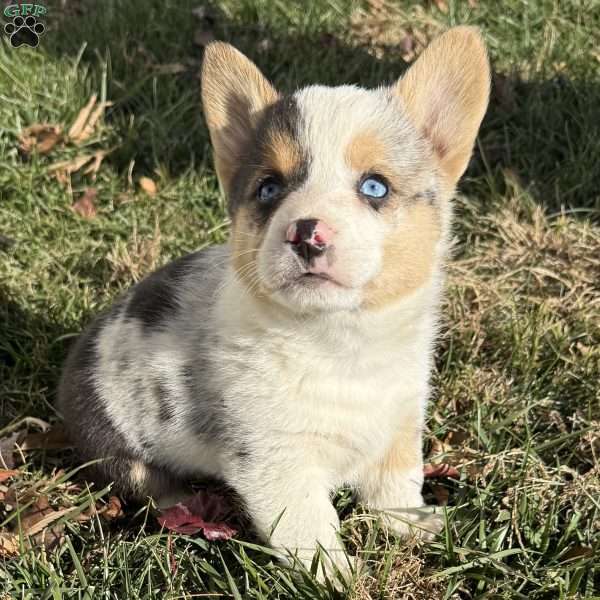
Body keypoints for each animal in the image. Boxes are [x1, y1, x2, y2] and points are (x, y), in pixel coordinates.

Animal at [58, 27, 490, 572]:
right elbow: (312, 532)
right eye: (269, 188)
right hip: (119, 446)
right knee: (149, 484)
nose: (306, 234)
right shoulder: (277, 463)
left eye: (374, 186)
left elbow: (395, 484)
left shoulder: (400, 422)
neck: (341, 340)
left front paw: (411, 525)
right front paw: (340, 578)